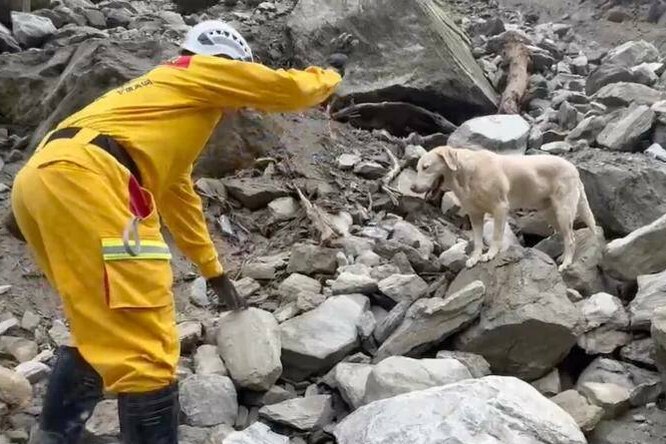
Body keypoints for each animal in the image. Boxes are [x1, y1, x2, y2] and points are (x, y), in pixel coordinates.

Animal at [412, 146, 592, 270]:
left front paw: (490, 254)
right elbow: (477, 241)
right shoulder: (475, 215)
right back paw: (564, 257)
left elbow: (496, 236)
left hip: (563, 211)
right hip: (551, 213)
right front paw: (475, 258)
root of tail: (574, 168)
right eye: (417, 168)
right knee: (568, 236)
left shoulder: (500, 208)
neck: (467, 174)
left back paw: (566, 263)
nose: (412, 187)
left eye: (426, 167)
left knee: (571, 238)